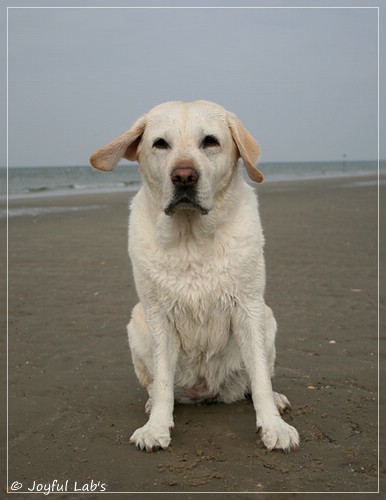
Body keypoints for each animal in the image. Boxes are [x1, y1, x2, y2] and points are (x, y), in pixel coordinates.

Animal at [89, 99, 298, 452]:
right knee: (157, 384)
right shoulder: (158, 314)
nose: (184, 176)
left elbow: (259, 377)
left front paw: (274, 426)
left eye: (210, 141)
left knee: (256, 381)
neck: (191, 239)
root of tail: (207, 389)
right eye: (160, 143)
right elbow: (162, 383)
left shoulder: (249, 307)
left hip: (268, 318)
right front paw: (156, 427)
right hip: (136, 323)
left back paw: (277, 398)